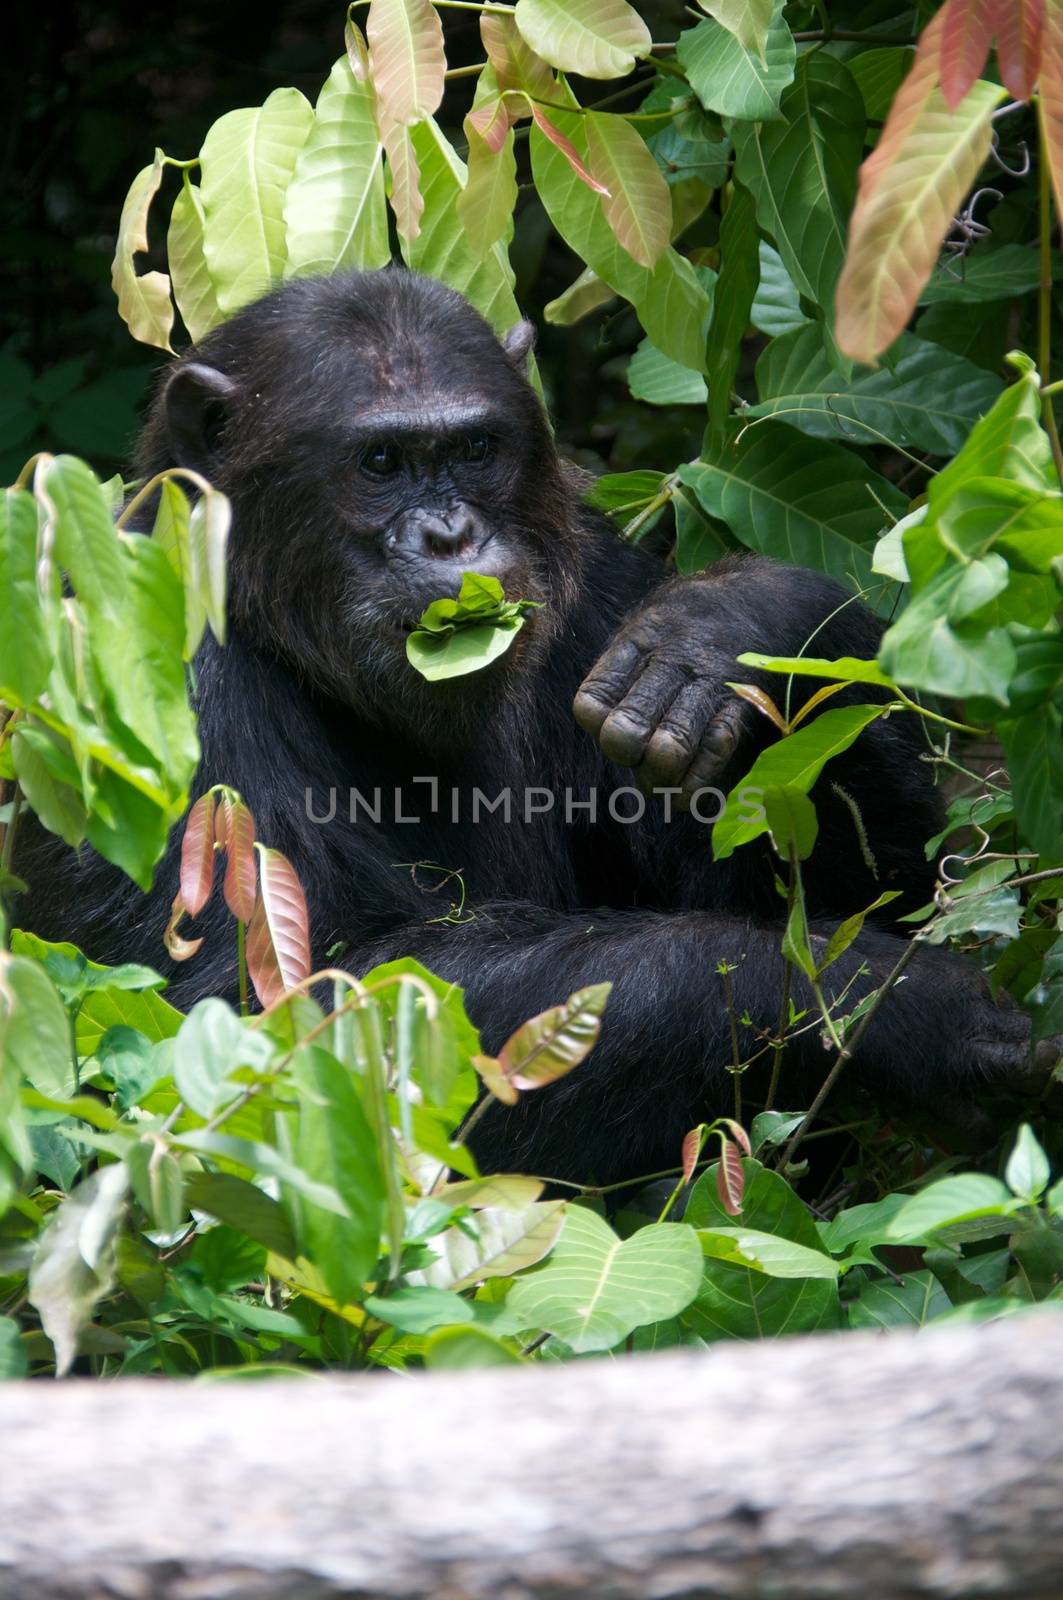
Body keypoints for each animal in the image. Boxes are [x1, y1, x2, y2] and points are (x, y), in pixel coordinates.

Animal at [18, 265, 1056, 1190]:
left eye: (475, 449)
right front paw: (886, 1005)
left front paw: (733, 621)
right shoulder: (149, 665)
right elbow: (250, 1027)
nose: (450, 535)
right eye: (381, 462)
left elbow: (894, 891)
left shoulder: (595, 574)